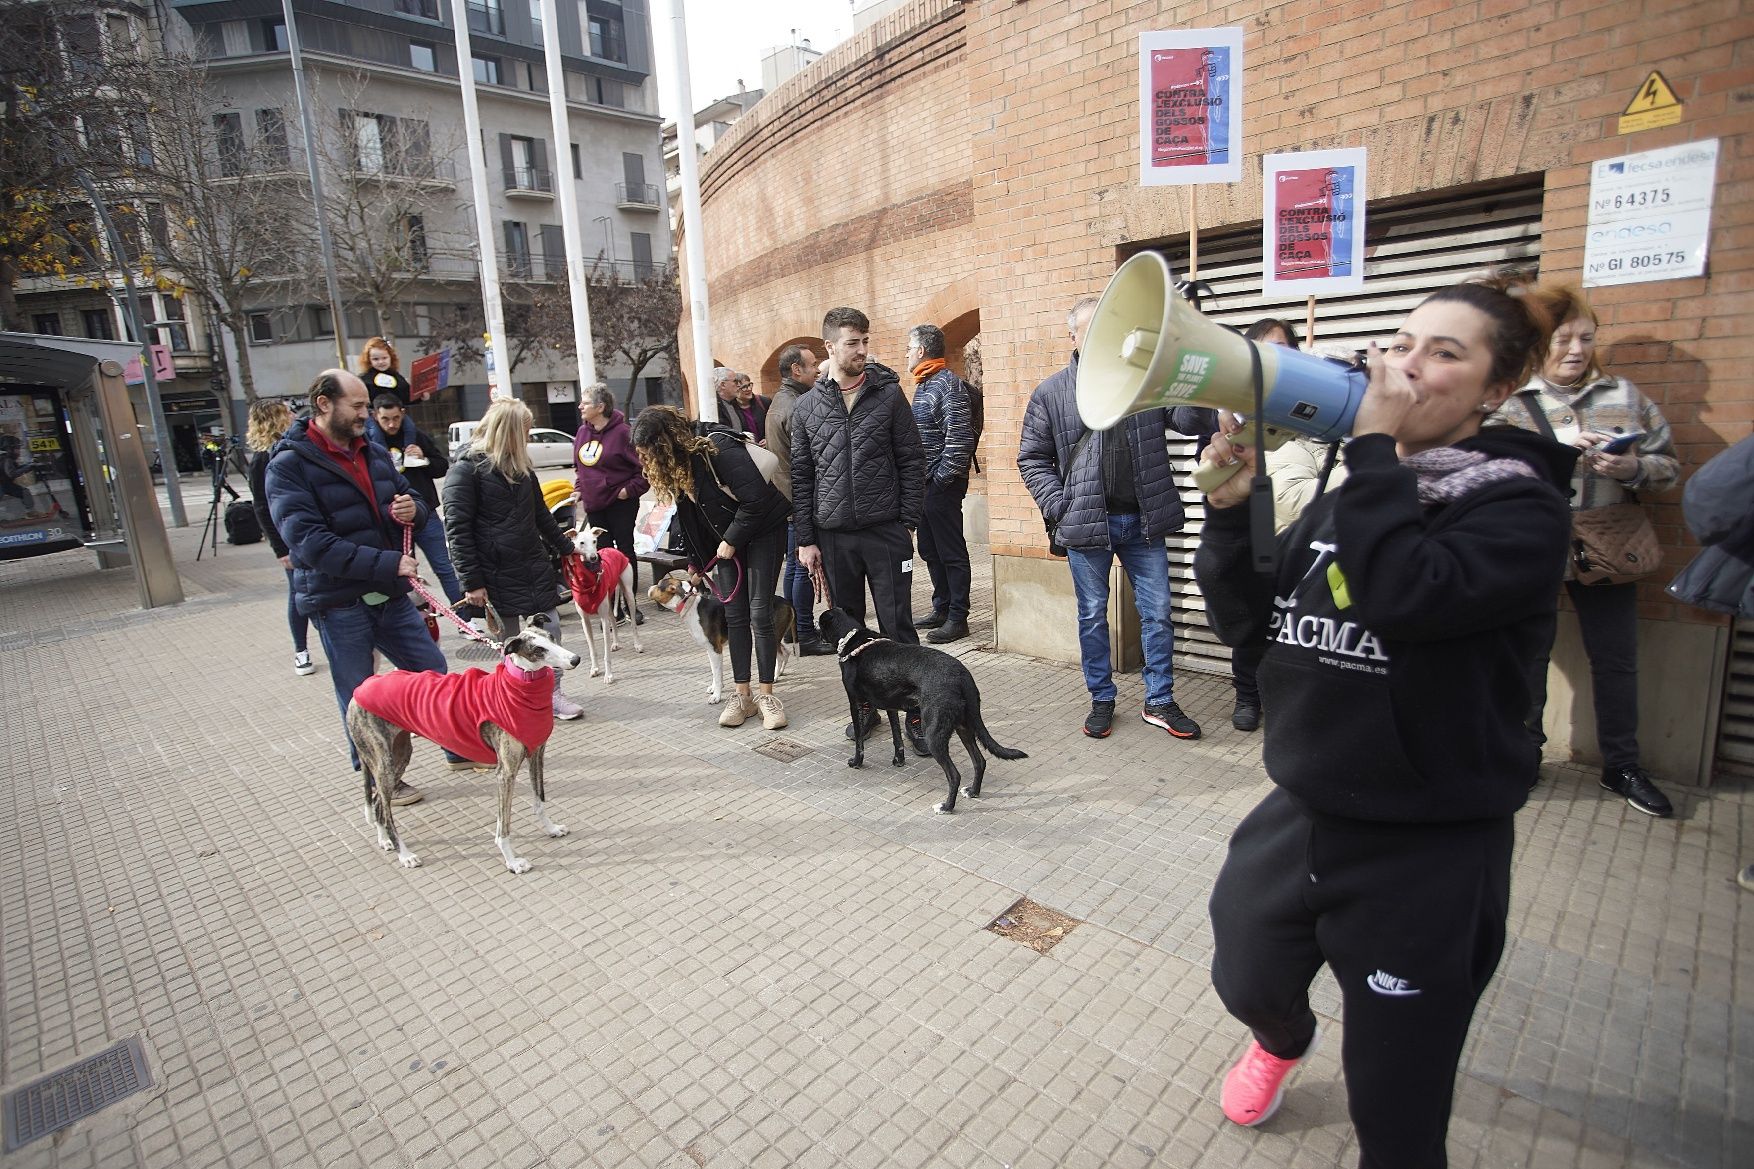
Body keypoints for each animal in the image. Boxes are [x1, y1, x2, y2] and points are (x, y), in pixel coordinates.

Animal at [345, 614, 578, 870]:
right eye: (538, 650)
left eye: (551, 638)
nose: (575, 660)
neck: (520, 687)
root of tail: (359, 690)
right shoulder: (505, 773)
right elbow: (503, 824)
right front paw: (512, 861)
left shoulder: (536, 755)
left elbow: (539, 799)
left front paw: (551, 829)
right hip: (383, 764)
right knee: (385, 810)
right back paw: (404, 854)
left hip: (400, 754)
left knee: (378, 803)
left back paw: (385, 840)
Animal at [561, 519, 645, 677]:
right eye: (581, 543)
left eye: (594, 541)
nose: (594, 557)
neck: (587, 581)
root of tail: (613, 549)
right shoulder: (585, 621)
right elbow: (592, 649)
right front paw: (594, 668)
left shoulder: (603, 619)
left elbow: (606, 653)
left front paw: (608, 675)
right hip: (609, 600)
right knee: (613, 619)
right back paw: (616, 642)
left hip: (628, 593)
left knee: (633, 623)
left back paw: (637, 644)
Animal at [648, 565, 799, 702]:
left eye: (659, 585)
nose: (650, 587)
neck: (690, 606)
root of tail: (786, 602)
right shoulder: (712, 649)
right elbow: (716, 672)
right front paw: (716, 687)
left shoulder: (715, 649)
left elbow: (716, 673)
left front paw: (716, 696)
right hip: (777, 636)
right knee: (786, 652)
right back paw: (780, 672)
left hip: (771, 635)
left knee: (780, 655)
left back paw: (774, 676)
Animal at [820, 603, 1024, 807]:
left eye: (819, 623)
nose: (815, 631)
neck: (852, 639)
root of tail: (962, 675)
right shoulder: (891, 706)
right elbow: (897, 738)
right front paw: (898, 760)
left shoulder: (854, 702)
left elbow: (859, 742)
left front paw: (856, 762)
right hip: (963, 726)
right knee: (980, 761)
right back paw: (973, 791)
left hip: (934, 733)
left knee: (954, 775)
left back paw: (946, 807)